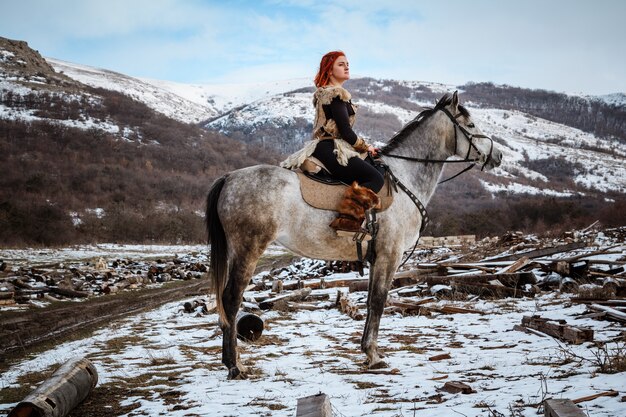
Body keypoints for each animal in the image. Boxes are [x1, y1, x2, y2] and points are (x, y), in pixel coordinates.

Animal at [205, 91, 502, 376]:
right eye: (471, 125)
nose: (497, 156)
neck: (404, 178)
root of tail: (229, 178)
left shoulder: (376, 258)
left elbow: (371, 302)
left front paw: (368, 352)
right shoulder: (389, 255)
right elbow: (379, 301)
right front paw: (373, 356)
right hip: (249, 249)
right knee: (231, 300)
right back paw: (235, 366)